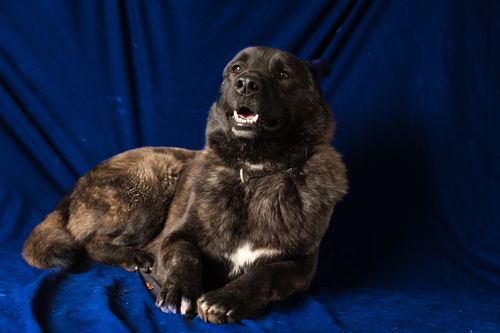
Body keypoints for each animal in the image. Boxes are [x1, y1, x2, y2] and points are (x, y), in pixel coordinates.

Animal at [22, 46, 348, 322]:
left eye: (283, 75)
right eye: (237, 68)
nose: (245, 83)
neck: (255, 173)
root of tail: (75, 187)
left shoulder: (302, 265)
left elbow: (266, 274)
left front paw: (226, 299)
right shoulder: (175, 237)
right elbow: (185, 255)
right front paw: (180, 290)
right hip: (154, 178)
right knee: (90, 243)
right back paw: (132, 256)